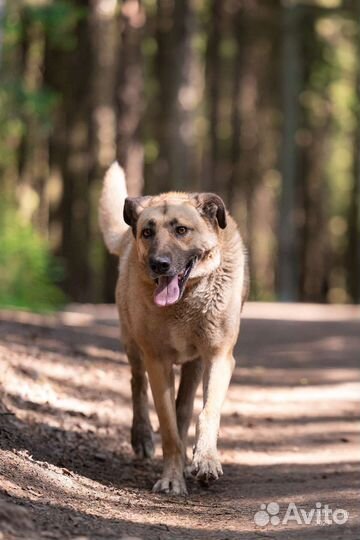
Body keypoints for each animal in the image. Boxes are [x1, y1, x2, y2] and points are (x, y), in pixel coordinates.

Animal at [101, 162, 248, 496]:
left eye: (181, 230)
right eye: (148, 232)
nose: (159, 264)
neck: (185, 301)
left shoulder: (219, 357)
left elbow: (206, 412)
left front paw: (205, 460)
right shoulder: (157, 362)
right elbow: (167, 427)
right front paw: (172, 476)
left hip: (195, 365)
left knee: (185, 406)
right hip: (132, 343)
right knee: (137, 383)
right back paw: (143, 436)